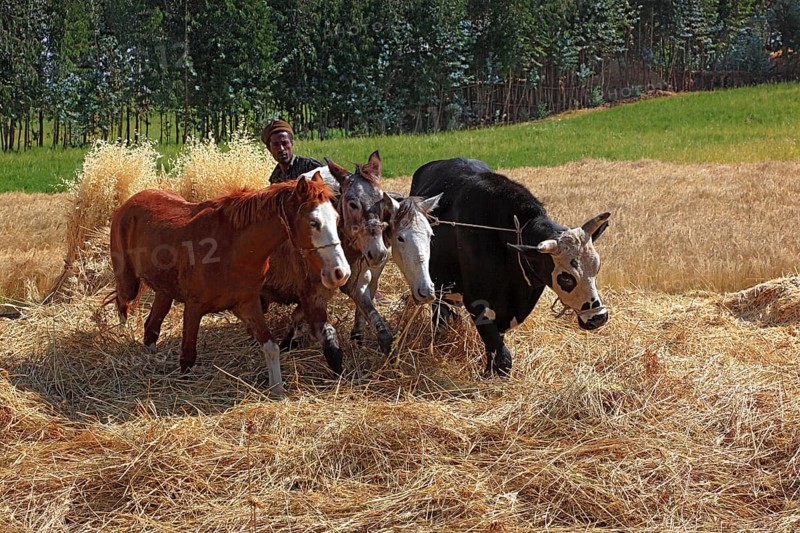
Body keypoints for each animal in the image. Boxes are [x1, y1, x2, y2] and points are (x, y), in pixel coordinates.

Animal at [108, 173, 349, 395]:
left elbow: (271, 346)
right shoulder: (194, 307)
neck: (232, 247)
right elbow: (187, 357)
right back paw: (122, 332)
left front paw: (277, 390)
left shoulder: (247, 304)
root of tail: (129, 203)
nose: (341, 273)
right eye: (314, 222)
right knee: (122, 301)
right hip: (129, 282)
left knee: (151, 328)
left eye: (337, 218)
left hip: (165, 292)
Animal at [410, 158, 611, 377]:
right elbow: (502, 356)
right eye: (566, 277)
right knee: (439, 311)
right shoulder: (477, 304)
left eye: (597, 268)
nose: (598, 318)